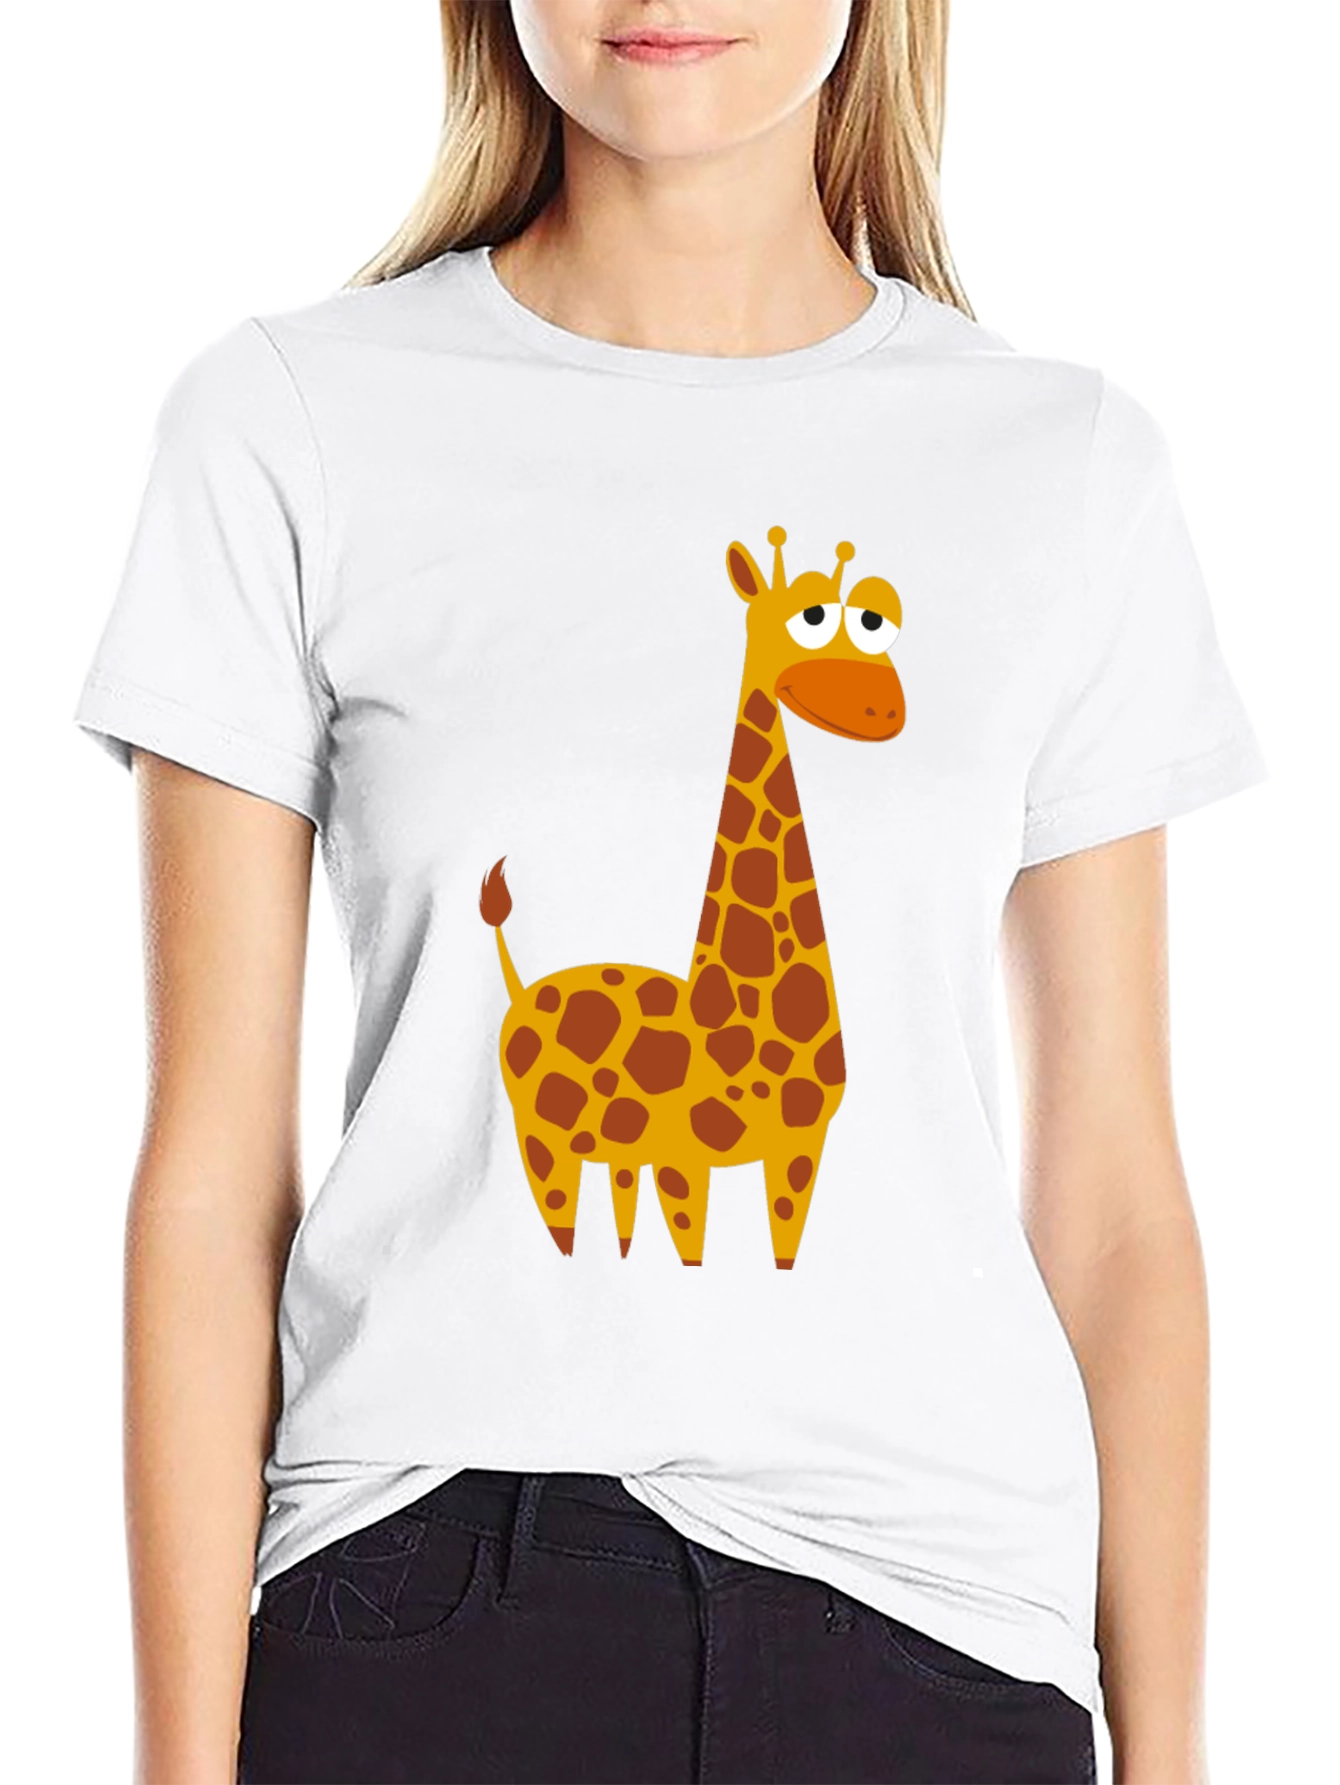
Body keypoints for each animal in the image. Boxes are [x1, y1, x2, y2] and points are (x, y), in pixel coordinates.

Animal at [479, 526, 906, 1269]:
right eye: (810, 617)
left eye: (876, 622)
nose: (885, 710)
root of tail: (521, 987)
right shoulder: (683, 1159)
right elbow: (692, 1250)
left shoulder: (799, 1147)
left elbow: (779, 1249)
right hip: (544, 1144)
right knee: (562, 1228)